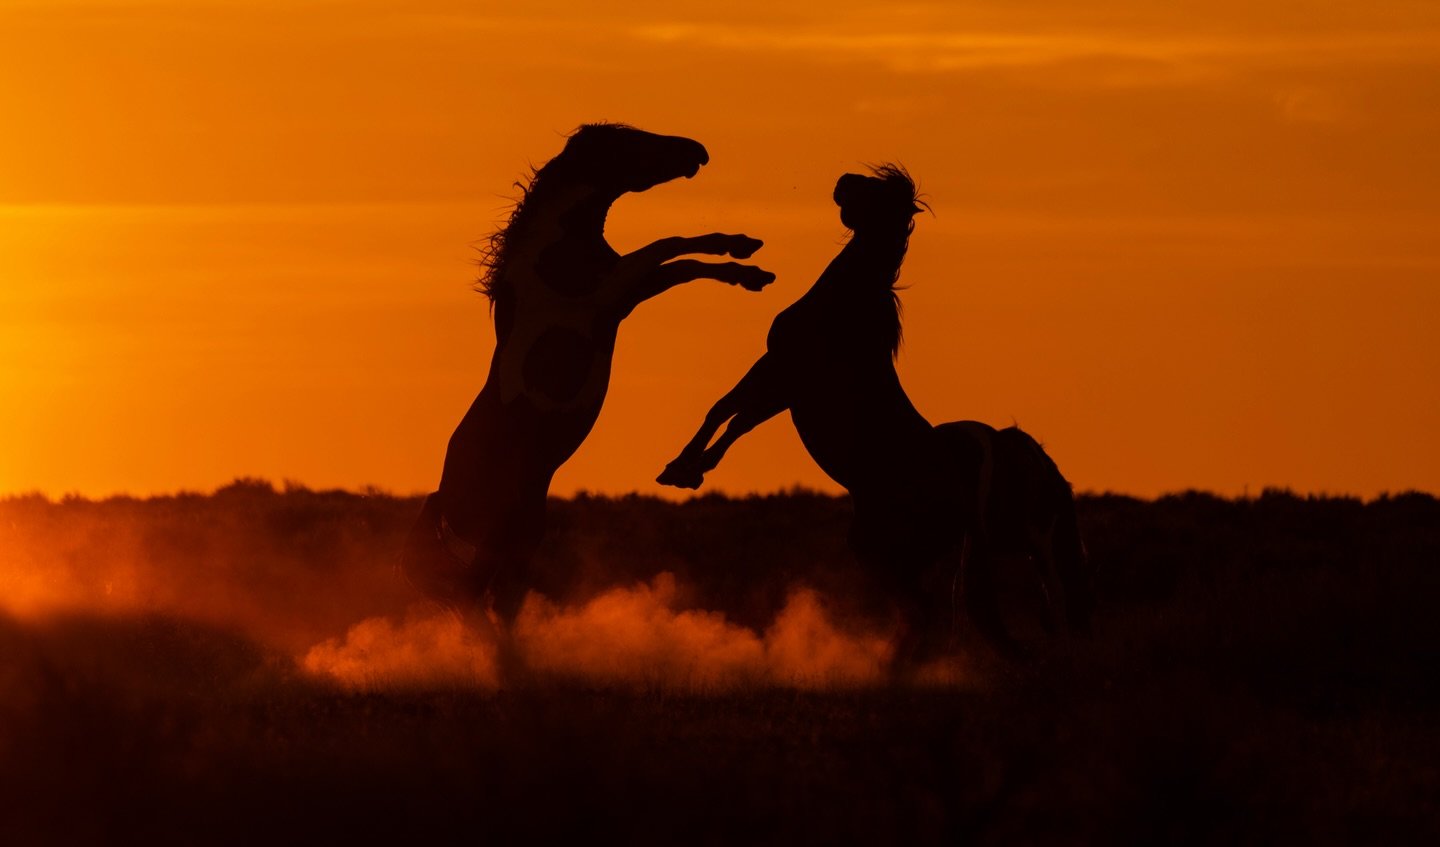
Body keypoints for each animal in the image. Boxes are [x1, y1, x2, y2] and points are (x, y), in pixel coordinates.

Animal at [401, 123, 776, 652]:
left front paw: (747, 258)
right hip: (492, 548)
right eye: (631, 142)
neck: (552, 250)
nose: (697, 151)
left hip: (520, 540)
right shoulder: (616, 288)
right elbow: (670, 246)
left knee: (496, 605)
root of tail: (441, 507)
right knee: (475, 607)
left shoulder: (630, 291)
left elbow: (680, 257)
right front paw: (748, 262)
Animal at [657, 165, 1091, 667]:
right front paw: (693, 468)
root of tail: (964, 501)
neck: (848, 304)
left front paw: (681, 469)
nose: (842, 181)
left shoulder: (783, 372)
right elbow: (735, 418)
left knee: (923, 610)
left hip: (883, 550)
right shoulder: (783, 382)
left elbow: (725, 411)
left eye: (877, 192)